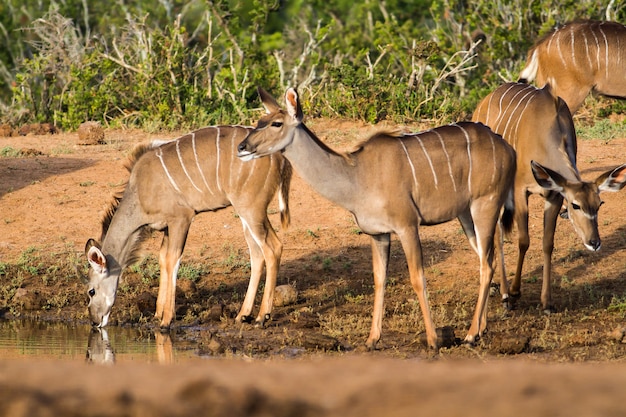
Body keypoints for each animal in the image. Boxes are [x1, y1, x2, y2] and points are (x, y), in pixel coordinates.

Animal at [84, 124, 292, 328]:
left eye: (91, 291)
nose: (94, 321)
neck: (140, 193)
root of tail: (279, 156)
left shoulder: (181, 218)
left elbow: (173, 259)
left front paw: (166, 320)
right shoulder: (167, 227)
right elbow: (163, 258)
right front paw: (157, 314)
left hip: (251, 209)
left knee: (273, 247)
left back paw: (262, 317)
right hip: (246, 214)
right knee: (257, 254)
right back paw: (243, 315)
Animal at [236, 88, 516, 348]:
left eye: (276, 123)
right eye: (260, 120)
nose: (242, 148)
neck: (358, 177)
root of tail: (507, 147)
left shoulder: (407, 226)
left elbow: (417, 278)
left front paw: (433, 340)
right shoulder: (377, 233)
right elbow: (379, 280)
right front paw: (372, 339)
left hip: (485, 205)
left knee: (486, 264)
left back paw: (469, 335)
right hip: (466, 215)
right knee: (486, 260)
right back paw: (479, 330)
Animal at [470, 81, 624, 310]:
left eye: (599, 204)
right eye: (575, 205)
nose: (594, 242)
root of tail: (482, 103)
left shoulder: (554, 194)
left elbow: (547, 243)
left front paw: (547, 303)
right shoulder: (520, 190)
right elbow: (523, 240)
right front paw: (515, 292)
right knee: (497, 233)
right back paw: (505, 294)